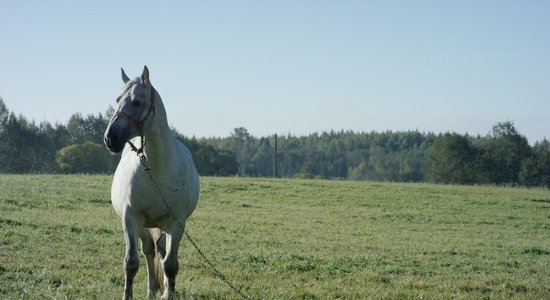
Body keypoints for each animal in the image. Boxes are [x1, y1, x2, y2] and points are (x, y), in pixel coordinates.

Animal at [103, 66, 201, 300]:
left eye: (137, 102)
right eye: (117, 99)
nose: (110, 138)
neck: (157, 169)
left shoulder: (177, 222)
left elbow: (170, 265)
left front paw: (170, 293)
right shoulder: (131, 218)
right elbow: (131, 263)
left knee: (162, 250)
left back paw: (163, 290)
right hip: (142, 225)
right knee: (149, 250)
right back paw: (151, 291)